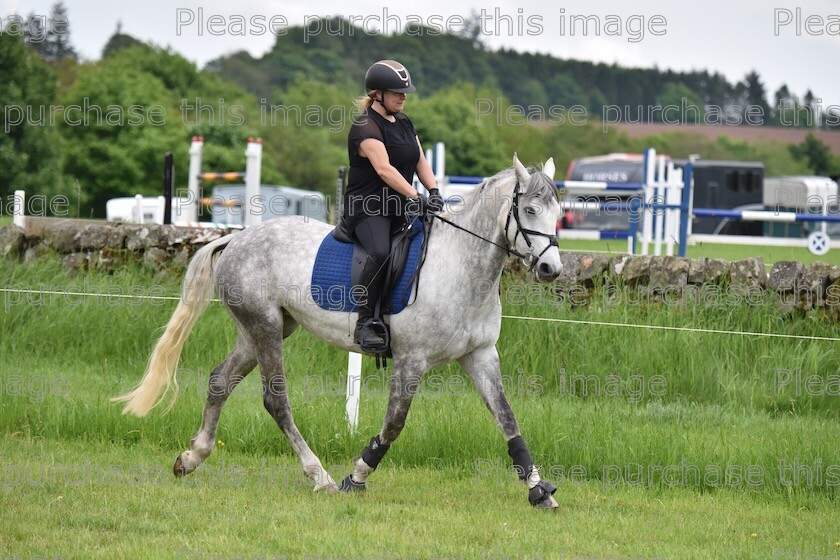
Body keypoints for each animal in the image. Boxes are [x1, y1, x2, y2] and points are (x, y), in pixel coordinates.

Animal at [113, 153, 564, 508]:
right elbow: (394, 424)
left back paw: (191, 458)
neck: (460, 267)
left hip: (264, 329)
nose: (551, 269)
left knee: (220, 381)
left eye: (559, 213)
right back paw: (320, 477)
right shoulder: (411, 360)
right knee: (275, 402)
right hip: (265, 327)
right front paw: (356, 477)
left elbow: (508, 419)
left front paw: (539, 490)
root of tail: (236, 239)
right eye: (529, 211)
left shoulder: (480, 355)